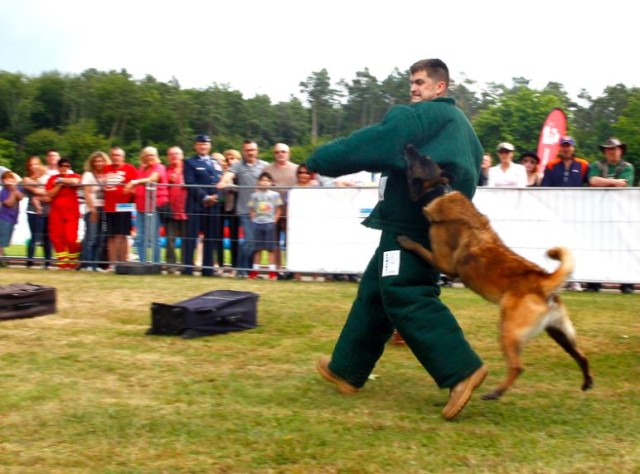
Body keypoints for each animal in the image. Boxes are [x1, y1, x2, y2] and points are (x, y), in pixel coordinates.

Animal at [398, 145, 592, 400]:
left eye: (421, 158)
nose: (408, 146)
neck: (440, 193)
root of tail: (543, 281)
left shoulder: (444, 263)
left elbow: (421, 249)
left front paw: (406, 241)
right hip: (560, 332)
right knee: (581, 355)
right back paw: (587, 382)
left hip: (508, 330)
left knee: (518, 366)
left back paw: (496, 393)